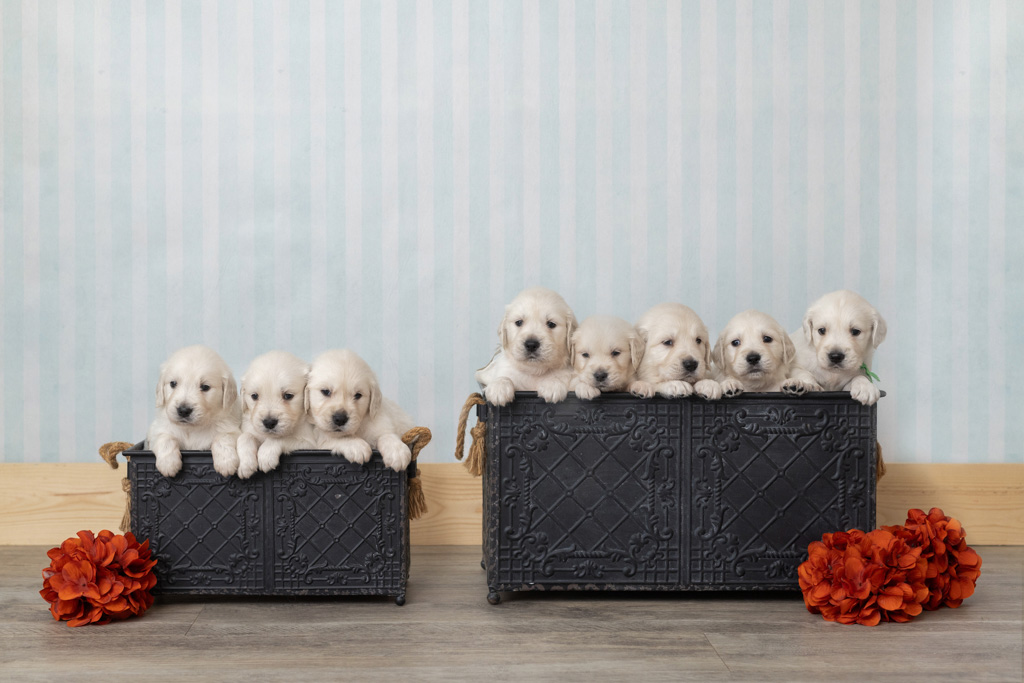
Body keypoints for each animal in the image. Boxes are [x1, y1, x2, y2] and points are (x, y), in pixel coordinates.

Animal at [145, 344, 242, 479]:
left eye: (205, 387)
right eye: (173, 383)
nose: (183, 410)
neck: (191, 429)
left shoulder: (233, 430)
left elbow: (223, 437)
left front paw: (226, 462)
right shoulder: (155, 432)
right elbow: (165, 438)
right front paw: (168, 464)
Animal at [235, 352, 315, 481]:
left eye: (288, 395)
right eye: (254, 396)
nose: (269, 422)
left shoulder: (309, 444)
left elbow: (281, 437)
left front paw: (266, 455)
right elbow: (245, 436)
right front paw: (245, 465)